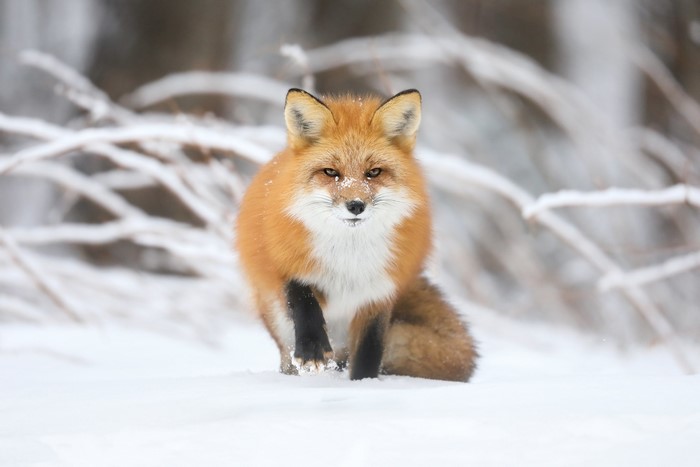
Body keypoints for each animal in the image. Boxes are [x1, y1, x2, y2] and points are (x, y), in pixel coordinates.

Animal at [235, 88, 477, 381]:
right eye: (330, 172)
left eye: (374, 172)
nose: (355, 205)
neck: (348, 257)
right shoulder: (283, 261)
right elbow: (302, 298)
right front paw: (312, 349)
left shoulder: (380, 290)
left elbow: (369, 349)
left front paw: (363, 384)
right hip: (274, 312)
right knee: (288, 354)